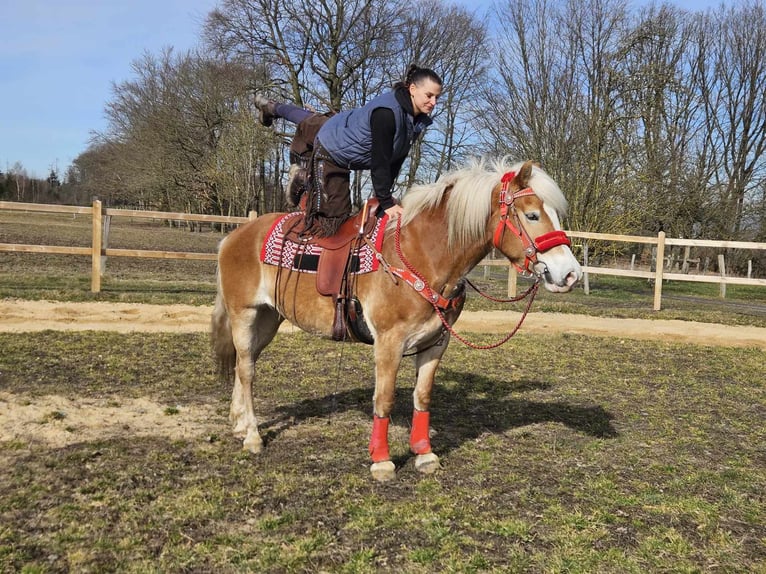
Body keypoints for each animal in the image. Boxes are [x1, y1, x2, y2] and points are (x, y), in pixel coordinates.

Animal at [210, 158, 584, 482]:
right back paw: (253, 436)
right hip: (244, 314)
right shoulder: (389, 342)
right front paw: (381, 461)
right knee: (247, 370)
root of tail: (233, 237)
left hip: (269, 318)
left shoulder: (436, 343)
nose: (570, 274)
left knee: (245, 364)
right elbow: (384, 399)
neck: (424, 257)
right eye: (532, 214)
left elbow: (423, 397)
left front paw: (424, 454)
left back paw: (239, 425)